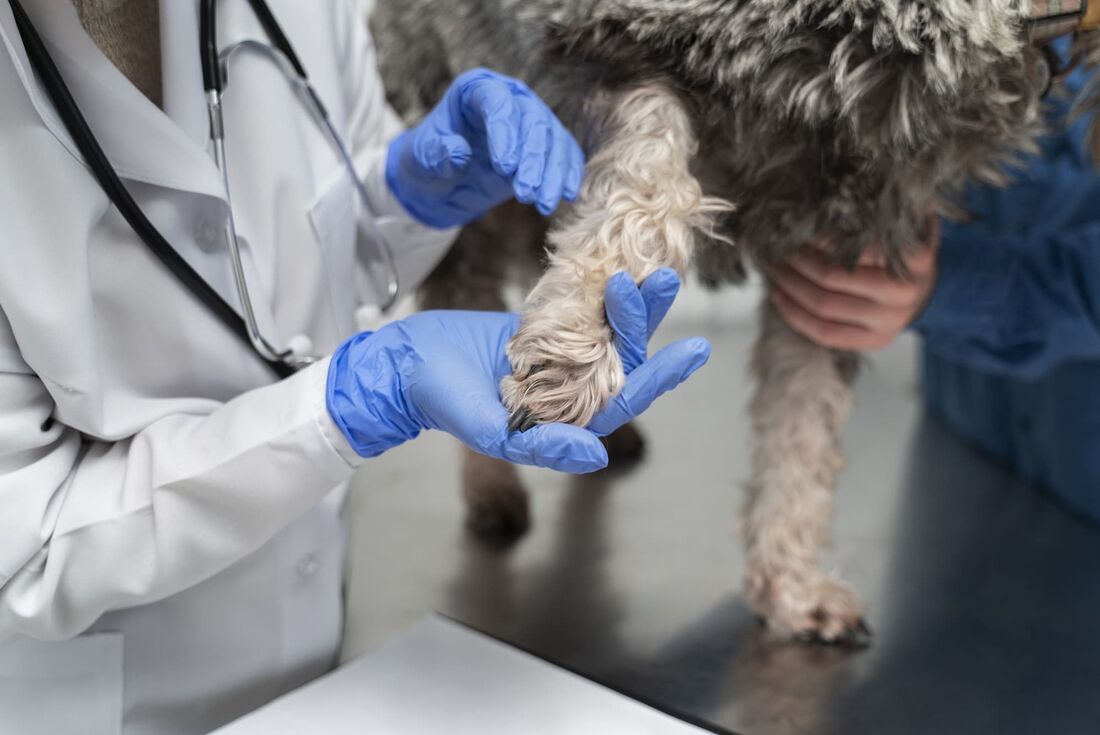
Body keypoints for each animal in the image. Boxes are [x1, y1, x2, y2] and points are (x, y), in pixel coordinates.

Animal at [369, 1, 1100, 642]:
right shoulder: (610, 44)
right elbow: (649, 189)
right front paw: (578, 349)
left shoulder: (852, 227)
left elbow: (803, 412)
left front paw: (790, 584)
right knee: (462, 283)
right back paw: (492, 481)